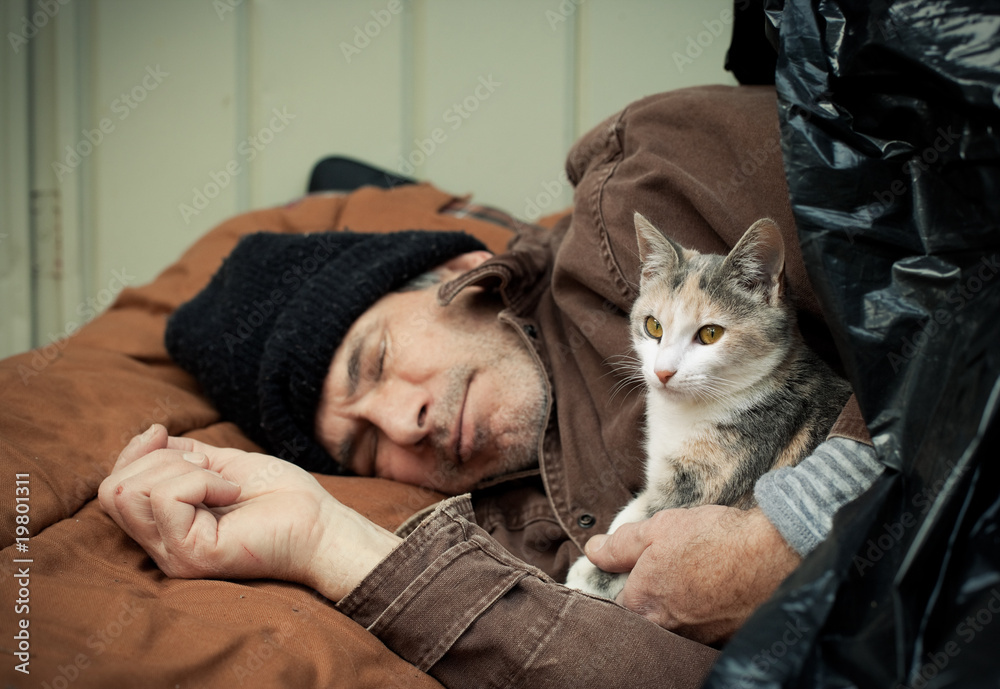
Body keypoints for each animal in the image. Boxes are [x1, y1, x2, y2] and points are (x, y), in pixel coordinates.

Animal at [564, 212, 852, 600]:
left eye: (710, 334)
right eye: (653, 326)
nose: (663, 371)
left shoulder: (708, 480)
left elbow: (646, 518)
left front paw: (590, 574)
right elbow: (633, 509)